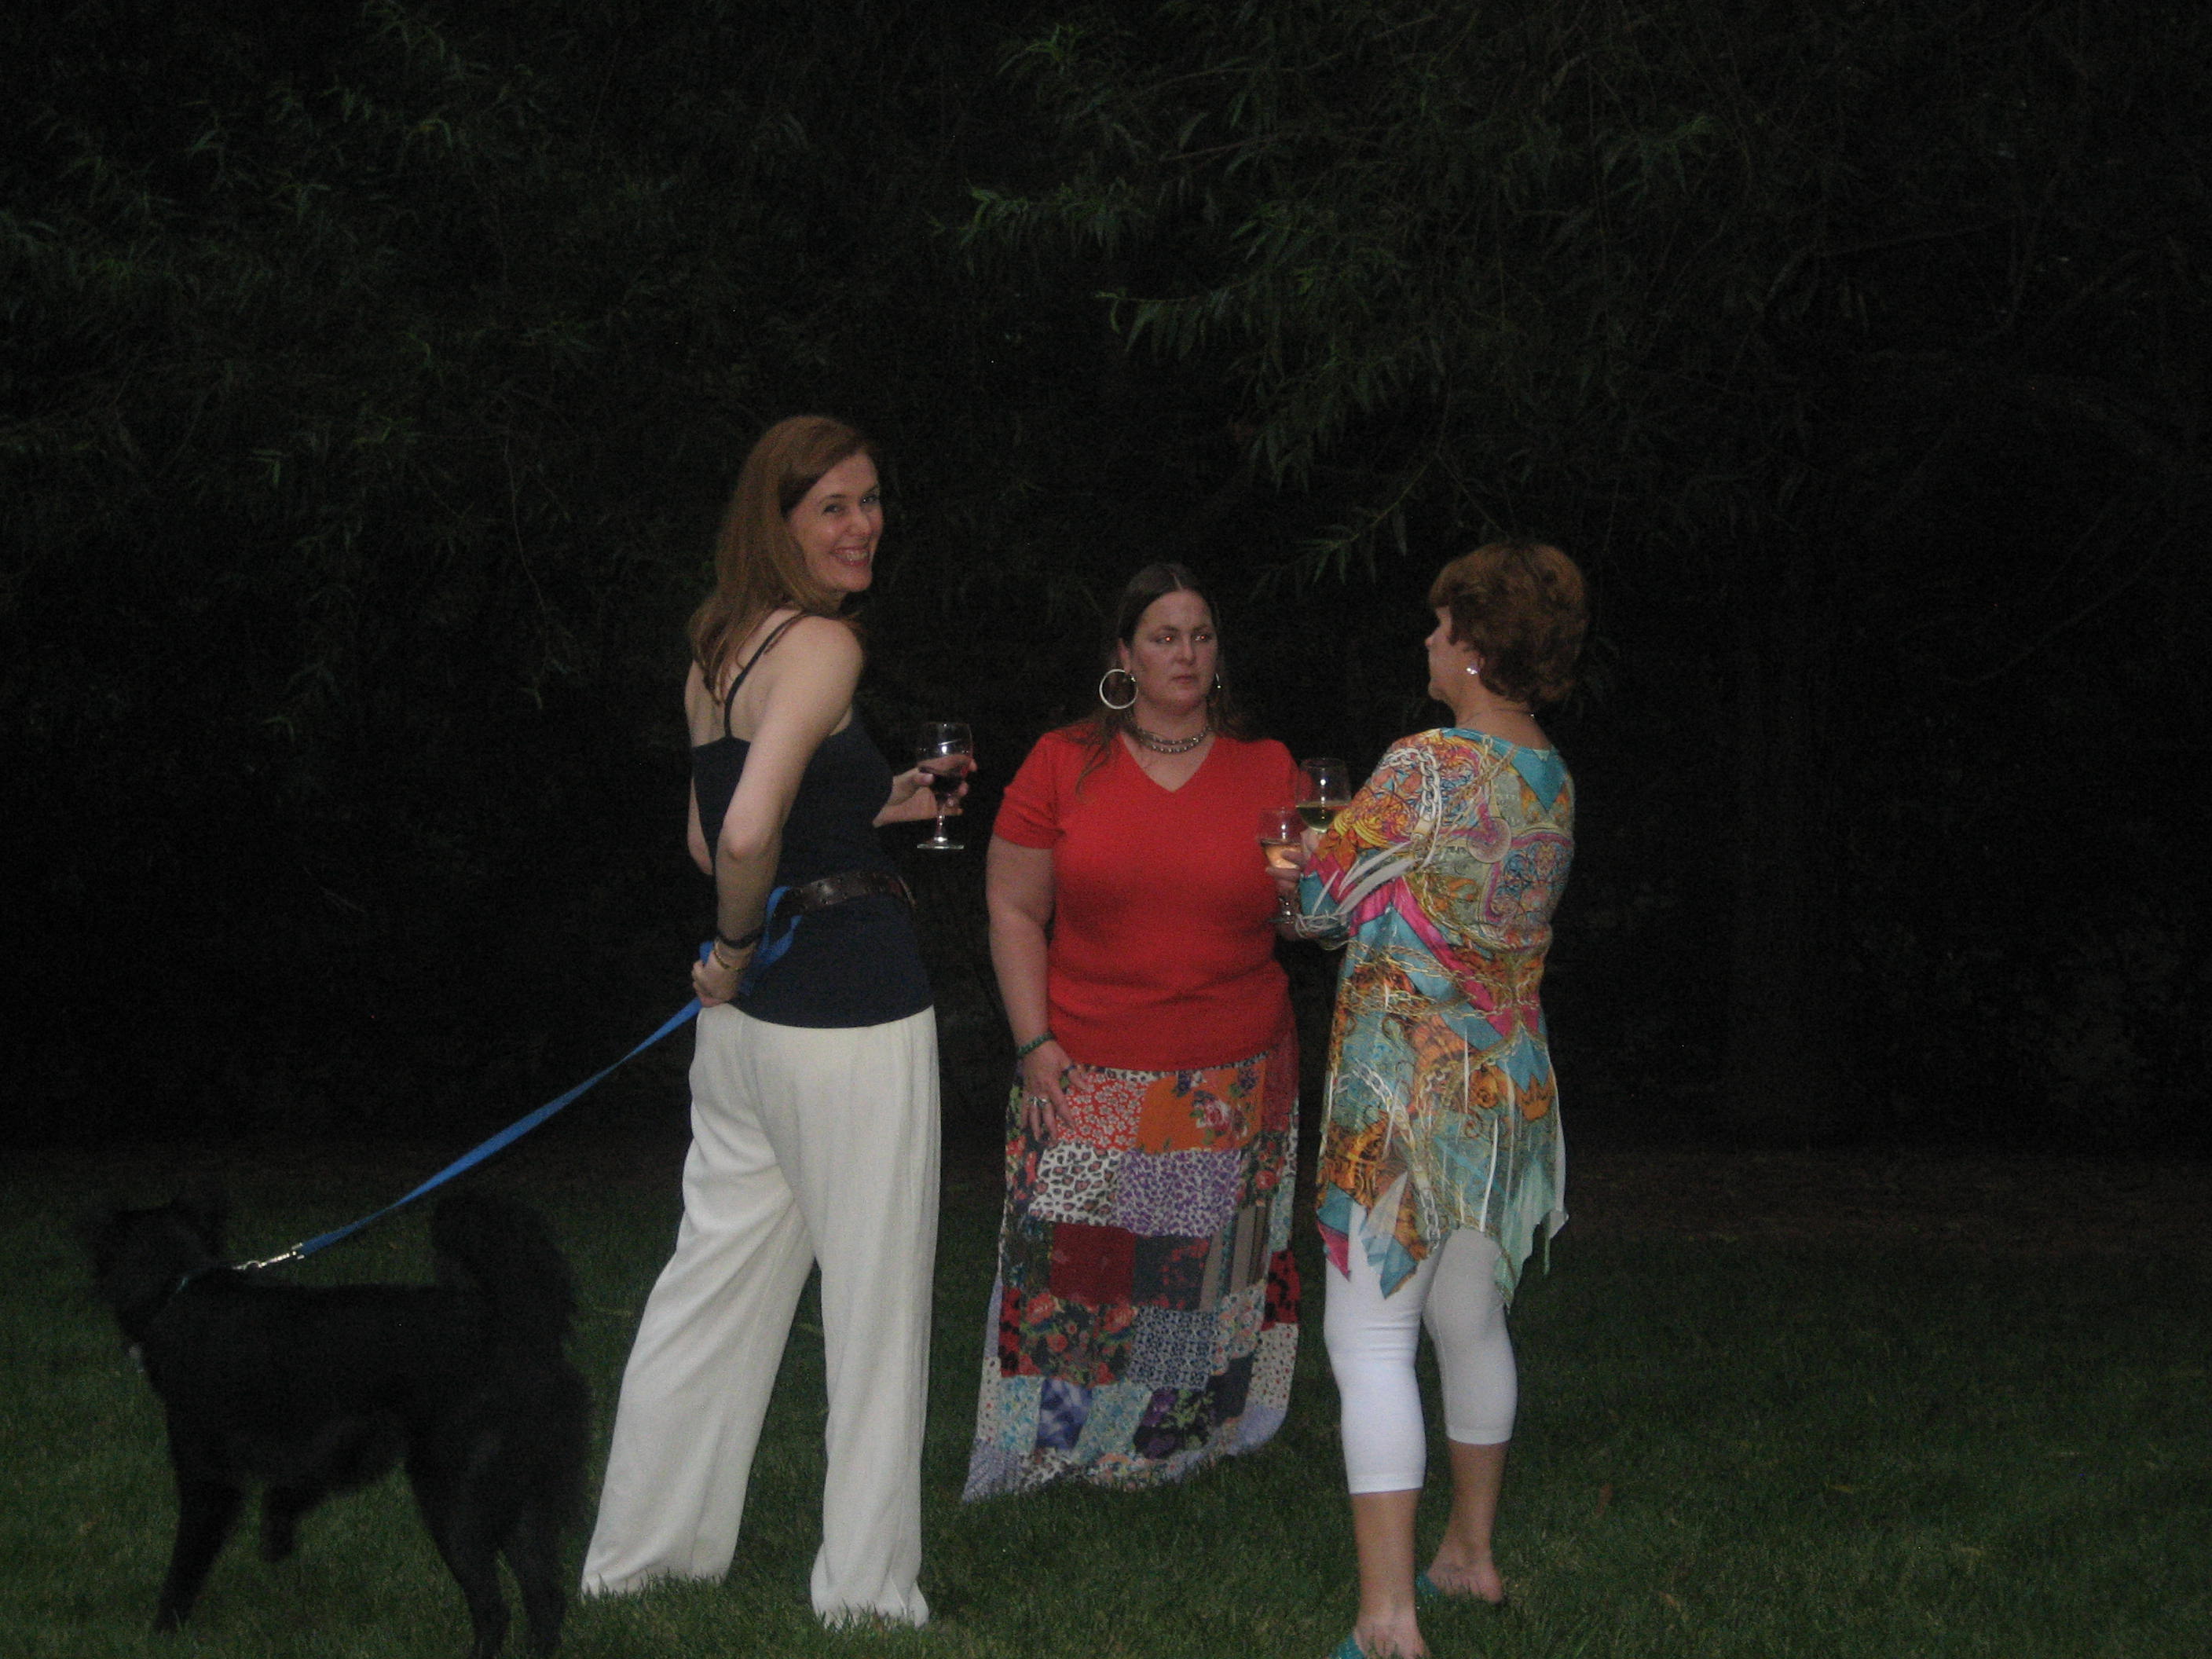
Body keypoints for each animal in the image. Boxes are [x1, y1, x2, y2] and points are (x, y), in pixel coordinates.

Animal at [81, 1185, 590, 1657]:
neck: (180, 1286)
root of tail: (517, 1330)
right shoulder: (342, 1444)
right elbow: (290, 1492)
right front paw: (277, 1537)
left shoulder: (209, 1478)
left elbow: (186, 1563)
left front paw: (162, 1630)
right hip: (516, 1501)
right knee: (545, 1599)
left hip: (454, 1500)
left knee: (493, 1608)